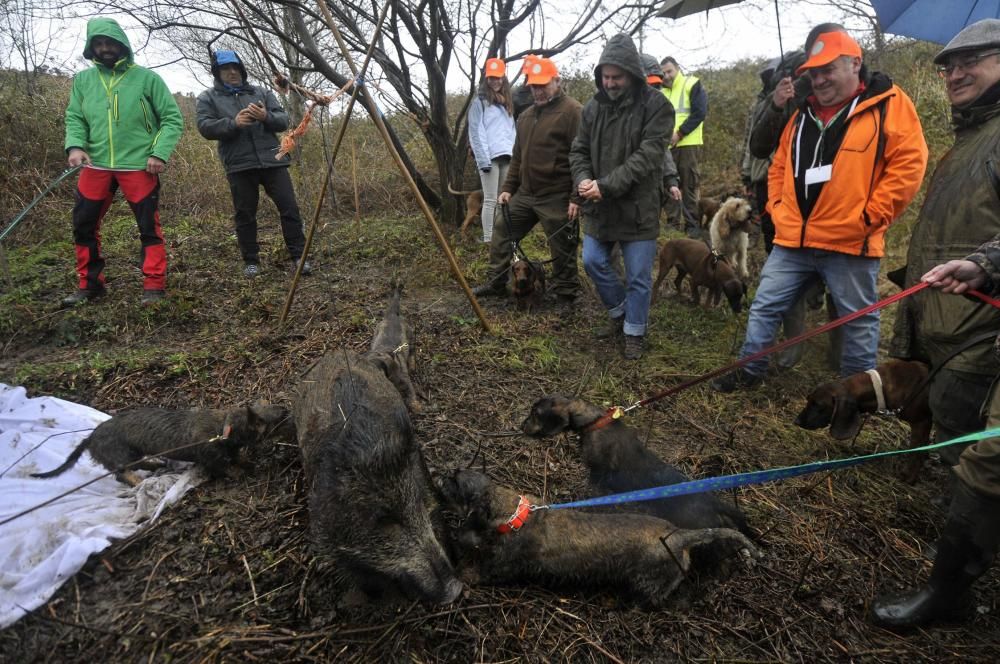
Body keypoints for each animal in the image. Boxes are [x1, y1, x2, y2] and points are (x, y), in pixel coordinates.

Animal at [440, 466, 756, 608]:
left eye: (456, 483)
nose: (441, 475)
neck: (516, 516)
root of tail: (680, 536)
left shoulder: (501, 566)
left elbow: (476, 571)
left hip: (649, 585)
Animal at [792, 360, 932, 480]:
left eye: (818, 405)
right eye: (808, 399)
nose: (796, 421)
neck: (880, 386)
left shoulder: (922, 423)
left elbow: (915, 453)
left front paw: (910, 476)